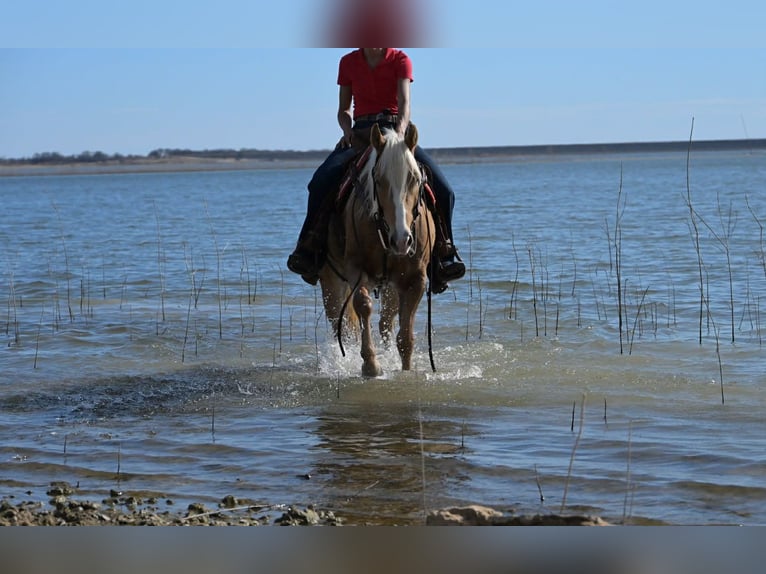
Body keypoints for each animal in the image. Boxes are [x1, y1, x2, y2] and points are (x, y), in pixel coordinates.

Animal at [318, 123, 435, 377]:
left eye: (414, 179)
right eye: (379, 180)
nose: (402, 241)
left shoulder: (415, 279)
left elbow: (405, 337)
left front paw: (406, 371)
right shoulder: (356, 271)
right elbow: (363, 305)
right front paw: (371, 365)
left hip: (392, 286)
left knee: (386, 323)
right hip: (331, 282)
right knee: (342, 325)